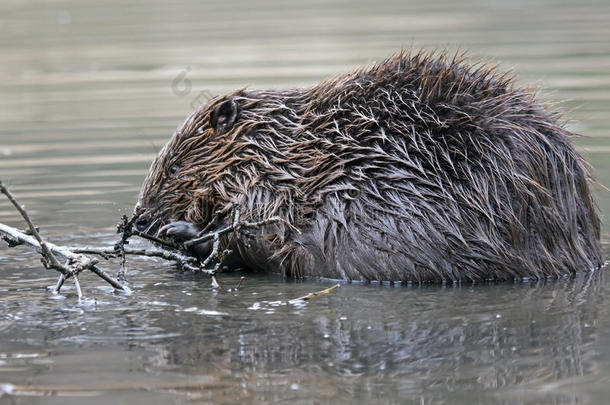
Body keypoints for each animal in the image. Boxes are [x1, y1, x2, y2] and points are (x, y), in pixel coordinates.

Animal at [134, 51, 604, 280]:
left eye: (173, 170)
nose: (138, 219)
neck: (284, 149)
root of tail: (586, 255)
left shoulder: (272, 189)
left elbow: (258, 234)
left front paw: (180, 231)